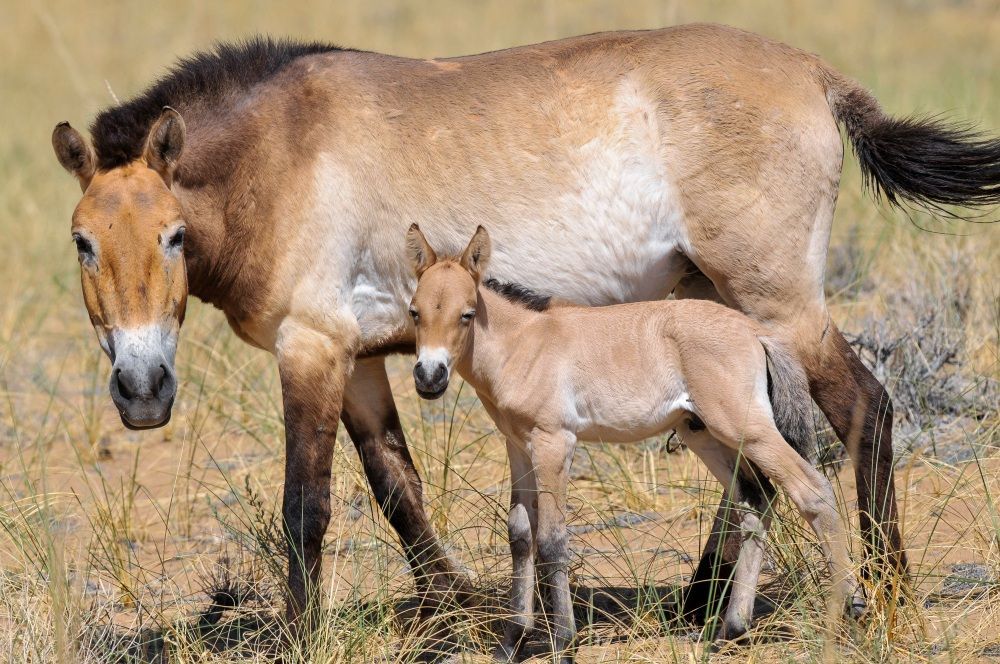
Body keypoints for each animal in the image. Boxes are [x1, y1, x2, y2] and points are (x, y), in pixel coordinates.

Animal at [410, 227, 864, 660]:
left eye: (467, 314)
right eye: (415, 312)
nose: (429, 377)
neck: (524, 343)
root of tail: (755, 330)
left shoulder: (555, 443)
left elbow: (553, 540)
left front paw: (563, 642)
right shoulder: (518, 446)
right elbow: (520, 535)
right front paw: (511, 643)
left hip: (745, 429)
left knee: (813, 491)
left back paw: (848, 607)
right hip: (705, 434)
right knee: (757, 501)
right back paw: (730, 631)